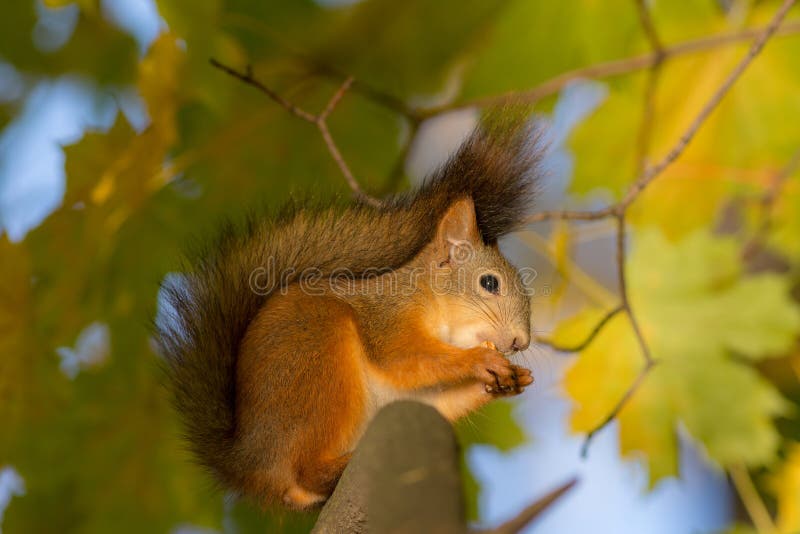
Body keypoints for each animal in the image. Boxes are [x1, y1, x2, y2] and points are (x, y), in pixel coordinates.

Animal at [155, 117, 544, 510]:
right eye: (489, 283)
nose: (519, 341)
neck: (431, 304)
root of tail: (249, 462)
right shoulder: (386, 318)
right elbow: (401, 358)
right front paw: (480, 360)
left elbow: (435, 395)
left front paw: (512, 379)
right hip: (318, 361)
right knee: (305, 471)